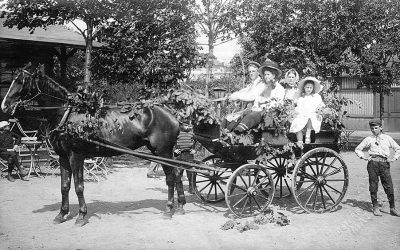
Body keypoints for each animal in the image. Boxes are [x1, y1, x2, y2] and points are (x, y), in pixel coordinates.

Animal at [0, 65, 184, 226]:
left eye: (21, 81)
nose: (4, 105)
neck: (67, 115)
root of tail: (172, 115)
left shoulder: (76, 156)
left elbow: (78, 187)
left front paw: (81, 216)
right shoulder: (63, 157)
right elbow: (64, 187)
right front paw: (61, 214)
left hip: (163, 152)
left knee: (170, 177)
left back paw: (169, 210)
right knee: (176, 175)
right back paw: (180, 205)